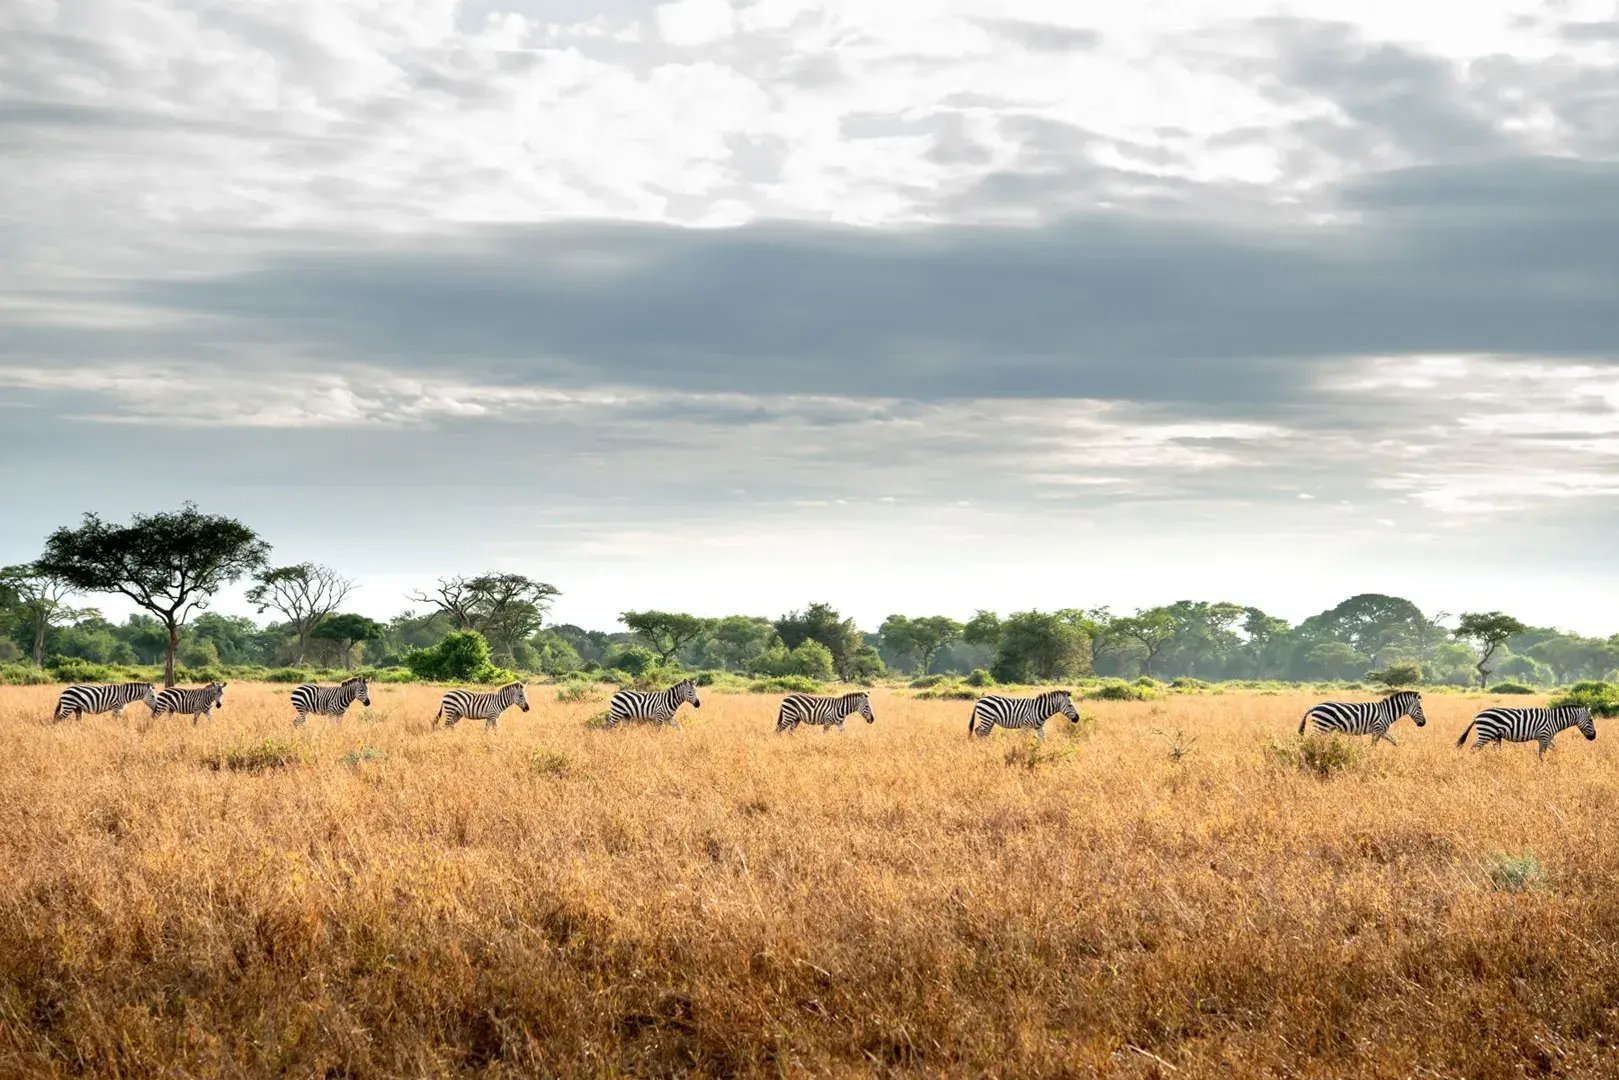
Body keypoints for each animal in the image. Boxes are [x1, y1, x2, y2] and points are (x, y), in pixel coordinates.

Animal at [1295, 689, 1424, 748]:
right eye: (1420, 708)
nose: (1423, 723)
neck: (1386, 712)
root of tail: (1315, 706)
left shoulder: (1382, 731)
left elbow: (1394, 741)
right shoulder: (1377, 729)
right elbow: (1373, 745)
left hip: (1323, 728)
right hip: (1321, 726)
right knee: (1312, 740)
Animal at [1457, 705, 1593, 757]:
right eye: (1591, 720)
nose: (1594, 737)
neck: (1554, 720)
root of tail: (1478, 715)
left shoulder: (1549, 738)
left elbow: (1555, 749)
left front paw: (1557, 761)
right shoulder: (1544, 736)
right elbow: (1541, 754)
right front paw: (1542, 767)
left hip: (1495, 736)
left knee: (1495, 750)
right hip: (1486, 732)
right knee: (1474, 748)